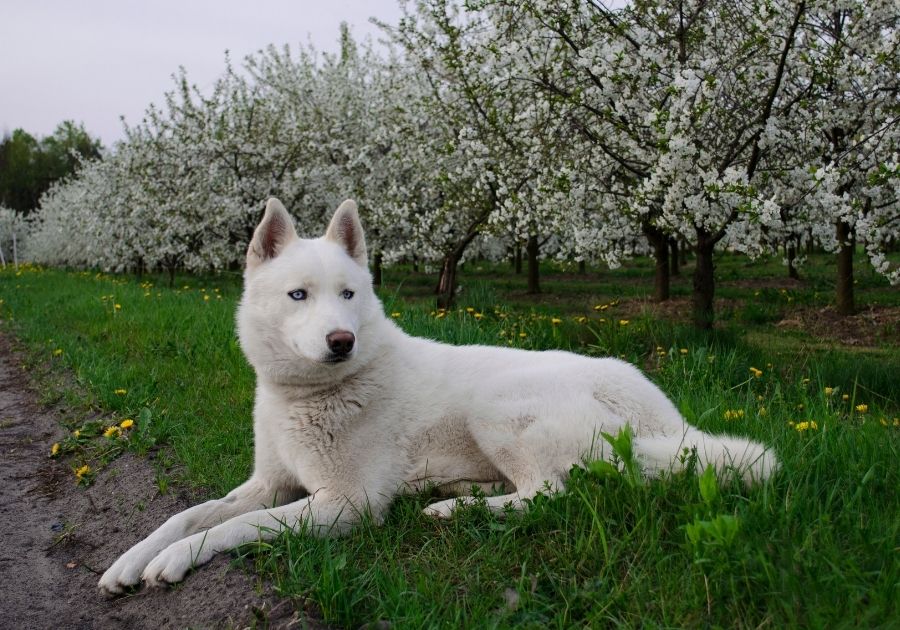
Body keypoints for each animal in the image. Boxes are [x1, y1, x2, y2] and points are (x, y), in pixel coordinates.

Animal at [96, 200, 772, 596]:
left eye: (348, 294)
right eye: (298, 295)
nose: (341, 340)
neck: (314, 394)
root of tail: (664, 421)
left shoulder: (344, 505)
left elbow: (240, 527)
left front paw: (178, 559)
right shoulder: (269, 482)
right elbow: (192, 512)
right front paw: (132, 559)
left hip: (496, 404)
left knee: (554, 494)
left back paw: (454, 511)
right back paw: (458, 492)